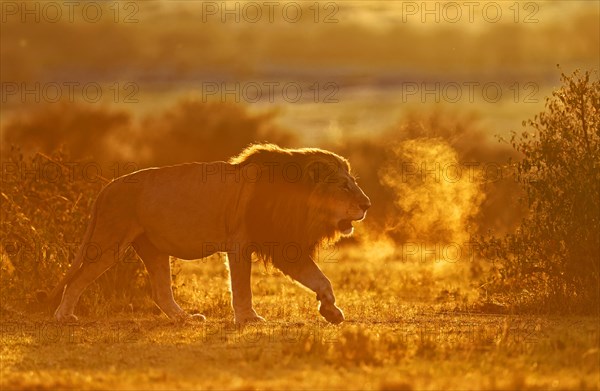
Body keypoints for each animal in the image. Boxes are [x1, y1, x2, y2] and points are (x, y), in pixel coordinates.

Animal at [47, 144, 370, 324]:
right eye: (344, 186)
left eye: (354, 182)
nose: (367, 205)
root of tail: (107, 187)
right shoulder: (241, 243)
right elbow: (242, 288)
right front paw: (249, 319)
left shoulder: (284, 245)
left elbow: (320, 279)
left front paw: (331, 311)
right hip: (109, 240)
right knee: (77, 280)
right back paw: (63, 317)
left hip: (152, 248)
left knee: (161, 292)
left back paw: (185, 319)